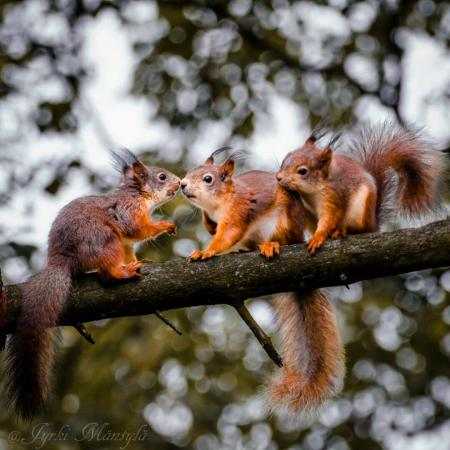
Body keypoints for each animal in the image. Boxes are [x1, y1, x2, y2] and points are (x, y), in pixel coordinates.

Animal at [3, 149, 179, 420]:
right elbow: (137, 228)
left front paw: (138, 260)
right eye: (161, 176)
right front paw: (165, 225)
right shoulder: (128, 210)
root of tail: (61, 261)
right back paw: (121, 273)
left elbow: (131, 248)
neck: (138, 195)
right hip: (103, 239)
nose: (180, 183)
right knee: (107, 273)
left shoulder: (126, 243)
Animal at [180, 149, 344, 416]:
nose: (182, 185)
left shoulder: (239, 211)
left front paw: (206, 251)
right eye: (189, 172)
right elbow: (213, 229)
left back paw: (270, 246)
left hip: (282, 223)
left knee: (280, 240)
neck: (219, 203)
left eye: (207, 179)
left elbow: (227, 235)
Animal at [276, 121, 444, 255]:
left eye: (303, 171)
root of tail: (373, 224)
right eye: (284, 159)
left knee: (358, 230)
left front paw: (318, 237)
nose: (278, 178)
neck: (310, 193)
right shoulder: (306, 209)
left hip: (359, 211)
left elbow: (329, 218)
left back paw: (340, 231)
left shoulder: (333, 196)